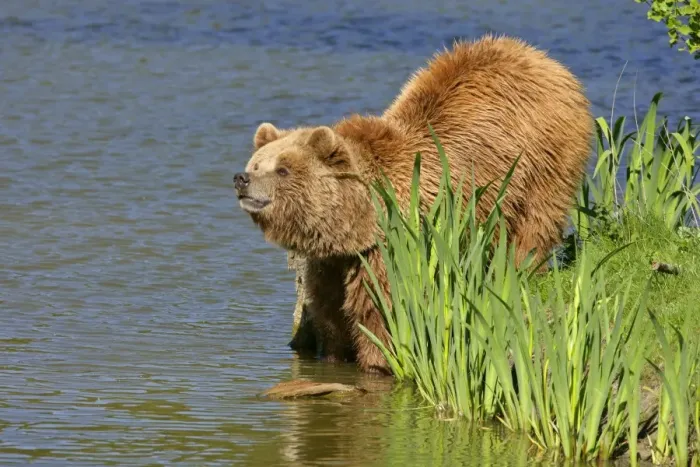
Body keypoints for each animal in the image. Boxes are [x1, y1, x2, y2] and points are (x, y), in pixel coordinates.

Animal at [233, 34, 594, 375]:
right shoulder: (333, 261)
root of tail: (541, 57)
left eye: (283, 169)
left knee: (534, 224)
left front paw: (378, 359)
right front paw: (334, 353)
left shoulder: (393, 245)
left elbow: (382, 309)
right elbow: (330, 310)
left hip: (543, 155)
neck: (356, 221)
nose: (241, 178)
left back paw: (523, 268)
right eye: (257, 164)